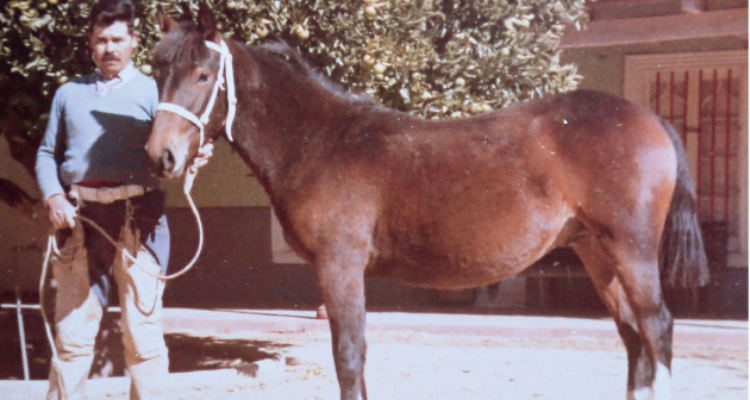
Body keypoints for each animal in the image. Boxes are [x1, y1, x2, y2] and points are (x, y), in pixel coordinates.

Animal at [147, 6, 712, 400]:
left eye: (202, 75)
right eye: (156, 70)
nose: (161, 155)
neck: (323, 140)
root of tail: (650, 119)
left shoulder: (340, 267)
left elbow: (348, 356)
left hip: (631, 251)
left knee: (657, 330)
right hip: (597, 253)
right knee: (635, 338)